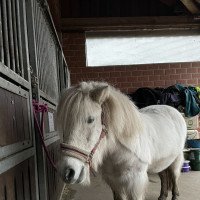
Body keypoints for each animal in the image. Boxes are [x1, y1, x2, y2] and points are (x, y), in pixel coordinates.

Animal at [56, 81, 188, 200]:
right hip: (161, 161)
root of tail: (174, 111)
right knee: (163, 176)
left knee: (174, 177)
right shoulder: (114, 182)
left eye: (91, 119)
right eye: (64, 122)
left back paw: (175, 195)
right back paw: (162, 196)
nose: (68, 172)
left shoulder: (136, 182)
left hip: (176, 159)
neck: (118, 150)